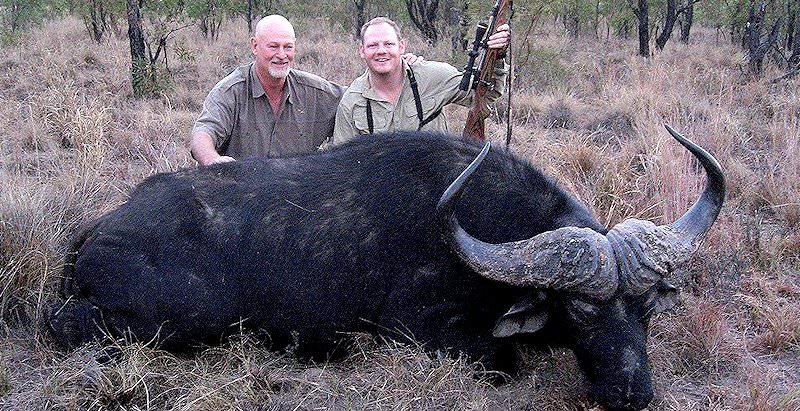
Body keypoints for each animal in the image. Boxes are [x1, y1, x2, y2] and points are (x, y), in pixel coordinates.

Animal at [48, 127, 724, 410]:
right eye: (582, 311)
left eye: (644, 308)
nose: (634, 395)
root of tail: (100, 228)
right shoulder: (427, 331)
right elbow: (503, 358)